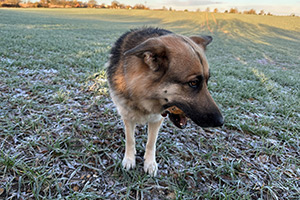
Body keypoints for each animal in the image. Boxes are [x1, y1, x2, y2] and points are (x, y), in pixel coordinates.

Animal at [106, 27, 224, 176]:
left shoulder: (157, 119)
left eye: (207, 81)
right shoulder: (127, 116)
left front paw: (150, 163)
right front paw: (129, 159)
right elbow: (130, 140)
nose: (221, 122)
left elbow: (151, 142)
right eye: (193, 83)